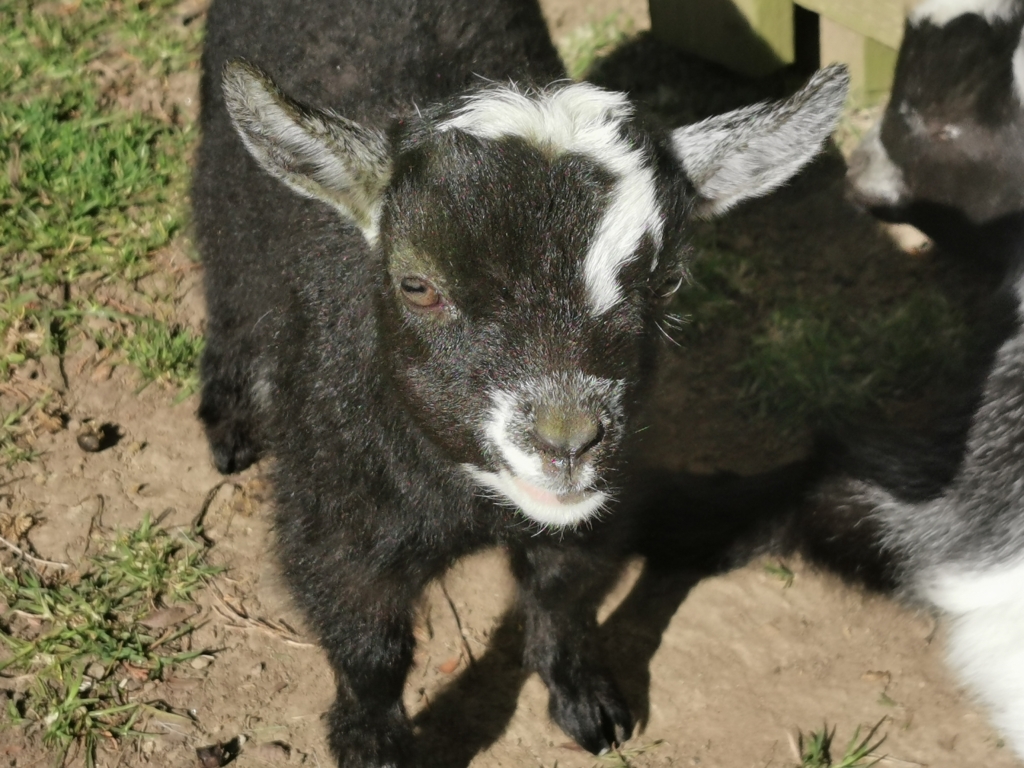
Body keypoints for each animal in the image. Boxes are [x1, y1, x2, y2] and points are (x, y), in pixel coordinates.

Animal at [191, 0, 848, 764]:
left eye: (666, 282)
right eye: (417, 285)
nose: (567, 442)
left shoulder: (599, 506)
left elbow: (562, 593)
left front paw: (588, 703)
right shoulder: (337, 514)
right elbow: (367, 643)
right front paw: (371, 744)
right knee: (227, 277)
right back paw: (230, 421)